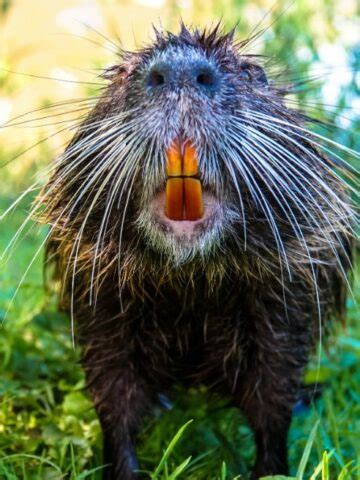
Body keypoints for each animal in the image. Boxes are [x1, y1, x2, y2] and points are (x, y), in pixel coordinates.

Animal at [37, 23, 354, 480]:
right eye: (119, 74)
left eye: (252, 72)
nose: (181, 70)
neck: (191, 281)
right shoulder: (102, 307)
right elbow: (114, 402)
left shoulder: (283, 308)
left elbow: (274, 403)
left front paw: (271, 468)